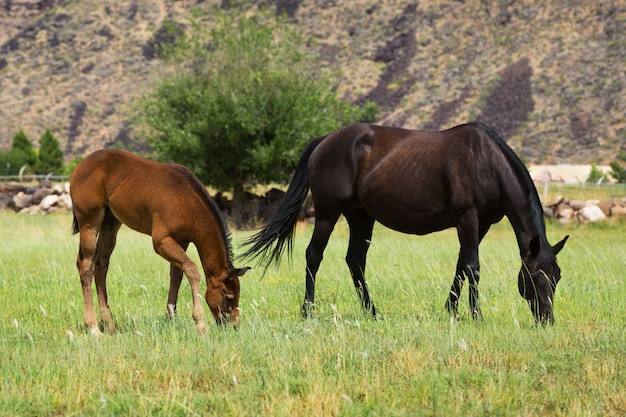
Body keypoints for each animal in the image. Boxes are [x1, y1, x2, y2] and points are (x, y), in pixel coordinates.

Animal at [71, 148, 249, 334]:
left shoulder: (181, 241)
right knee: (86, 266)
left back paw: (110, 325)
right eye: (229, 296)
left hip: (110, 224)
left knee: (101, 265)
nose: (234, 326)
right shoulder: (161, 242)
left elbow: (177, 275)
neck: (186, 201)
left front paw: (171, 320)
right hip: (89, 223)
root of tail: (82, 165)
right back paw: (94, 328)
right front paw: (200, 324)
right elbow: (192, 269)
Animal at [241, 122, 568, 324]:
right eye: (535, 277)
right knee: (314, 256)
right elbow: (473, 267)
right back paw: (308, 311)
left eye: (557, 276)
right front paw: (476, 316)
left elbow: (460, 267)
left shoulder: (481, 224)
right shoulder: (468, 219)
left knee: (355, 261)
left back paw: (372, 312)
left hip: (361, 217)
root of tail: (325, 140)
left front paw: (451, 310)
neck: (485, 160)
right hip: (326, 213)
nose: (547, 319)